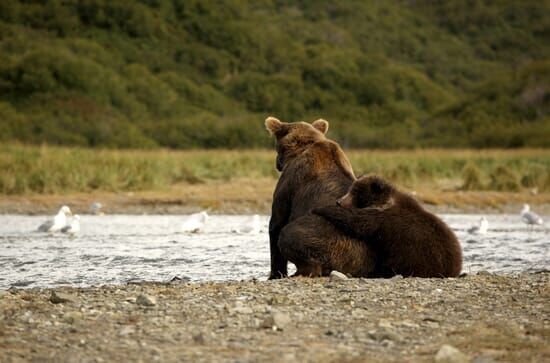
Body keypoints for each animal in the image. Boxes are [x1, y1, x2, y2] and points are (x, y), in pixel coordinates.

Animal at [268, 118, 380, 280]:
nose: (277, 163)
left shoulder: (290, 183)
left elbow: (276, 224)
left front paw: (275, 274)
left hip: (329, 239)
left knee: (289, 235)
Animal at [312, 175, 464, 278]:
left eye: (355, 192)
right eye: (351, 189)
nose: (339, 201)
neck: (382, 202)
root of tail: (456, 265)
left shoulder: (383, 220)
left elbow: (357, 222)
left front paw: (321, 208)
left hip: (417, 255)